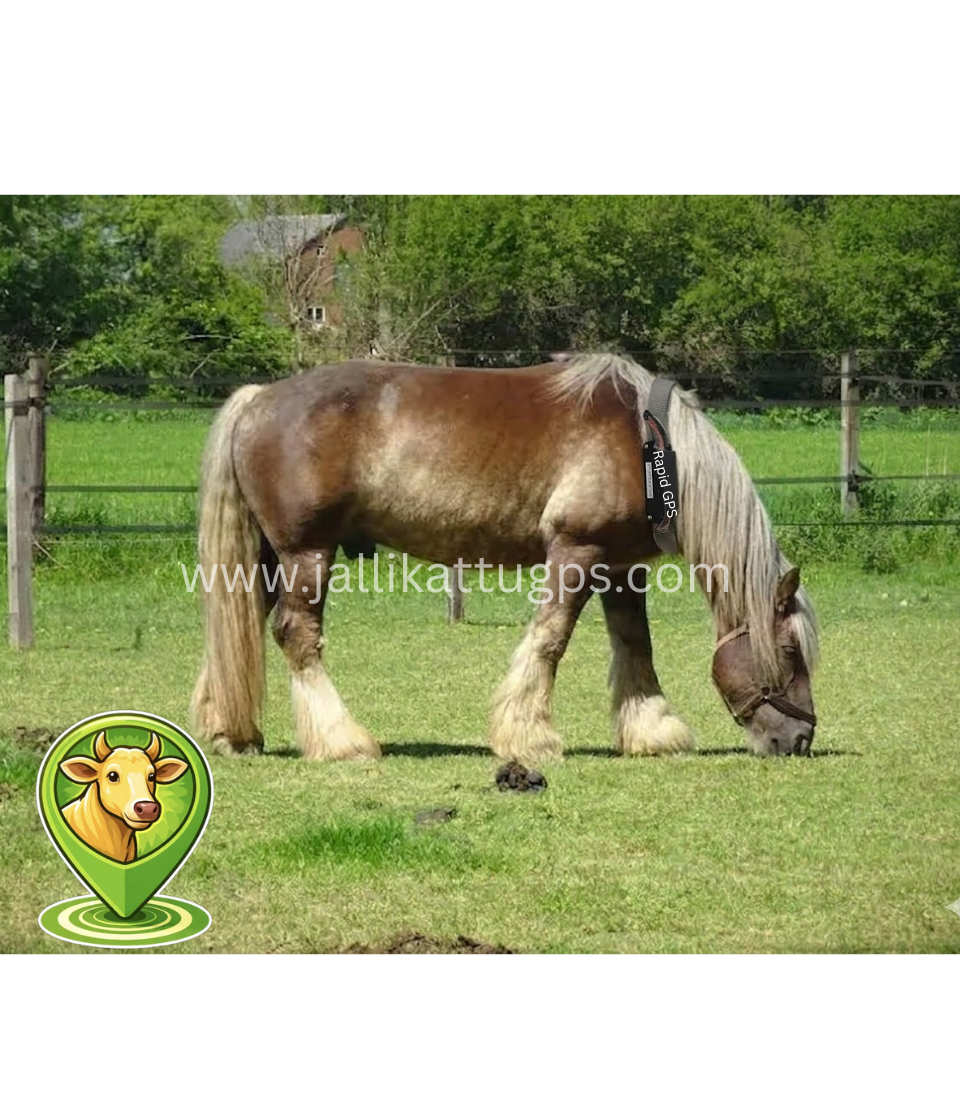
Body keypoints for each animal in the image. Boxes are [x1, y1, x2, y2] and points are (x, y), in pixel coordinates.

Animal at [189, 353, 819, 762]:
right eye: (790, 653)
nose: (799, 741)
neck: (650, 446)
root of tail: (258, 399)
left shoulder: (620, 568)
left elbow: (635, 645)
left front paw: (652, 731)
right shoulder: (576, 550)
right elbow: (550, 640)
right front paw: (529, 736)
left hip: (267, 558)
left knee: (237, 629)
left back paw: (230, 732)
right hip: (307, 553)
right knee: (297, 635)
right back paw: (342, 740)